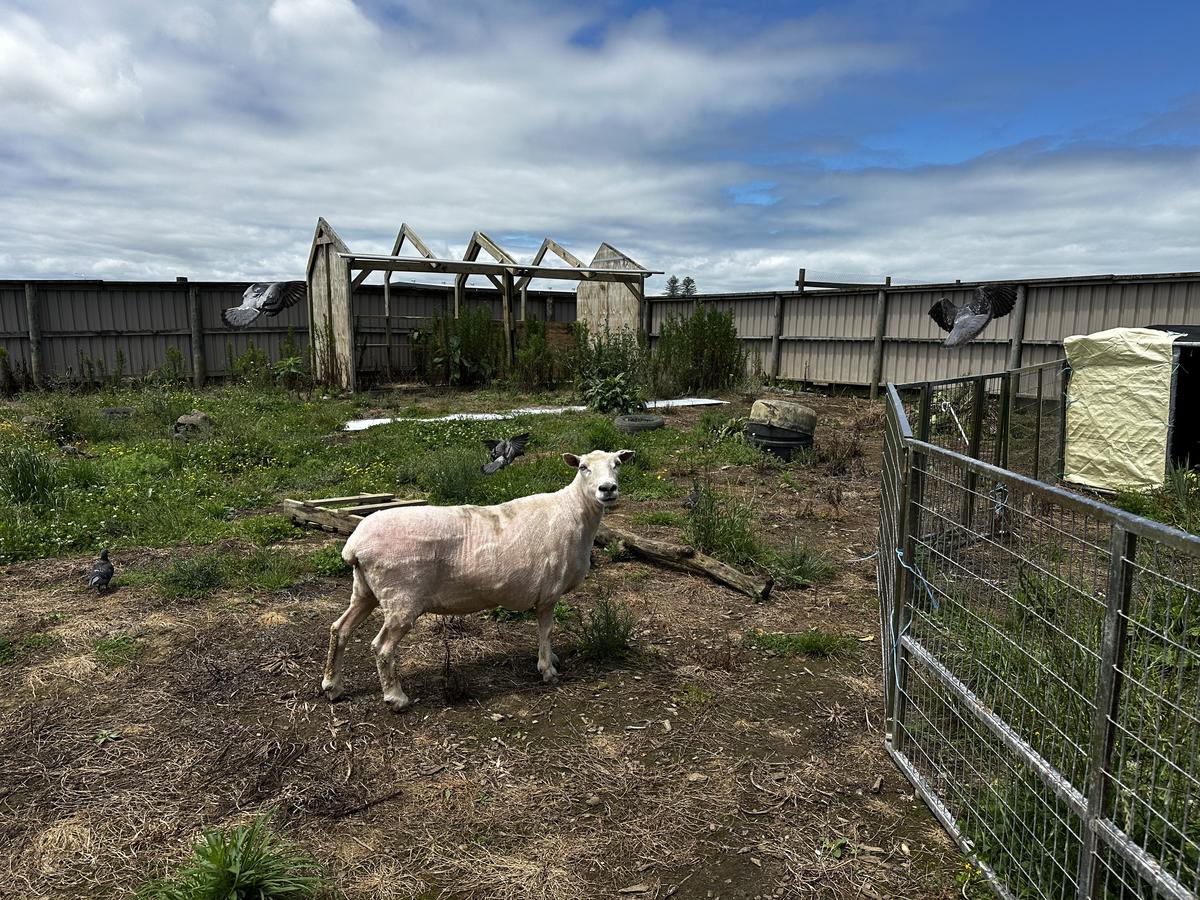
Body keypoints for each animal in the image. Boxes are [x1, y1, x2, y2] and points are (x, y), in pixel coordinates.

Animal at [322, 448, 635, 710]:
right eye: (583, 467)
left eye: (617, 464)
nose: (608, 489)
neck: (575, 512)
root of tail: (354, 545)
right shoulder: (548, 593)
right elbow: (546, 631)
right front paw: (548, 670)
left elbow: (545, 633)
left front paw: (552, 659)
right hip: (401, 596)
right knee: (382, 646)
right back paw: (395, 697)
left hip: (365, 589)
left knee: (340, 629)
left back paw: (332, 685)